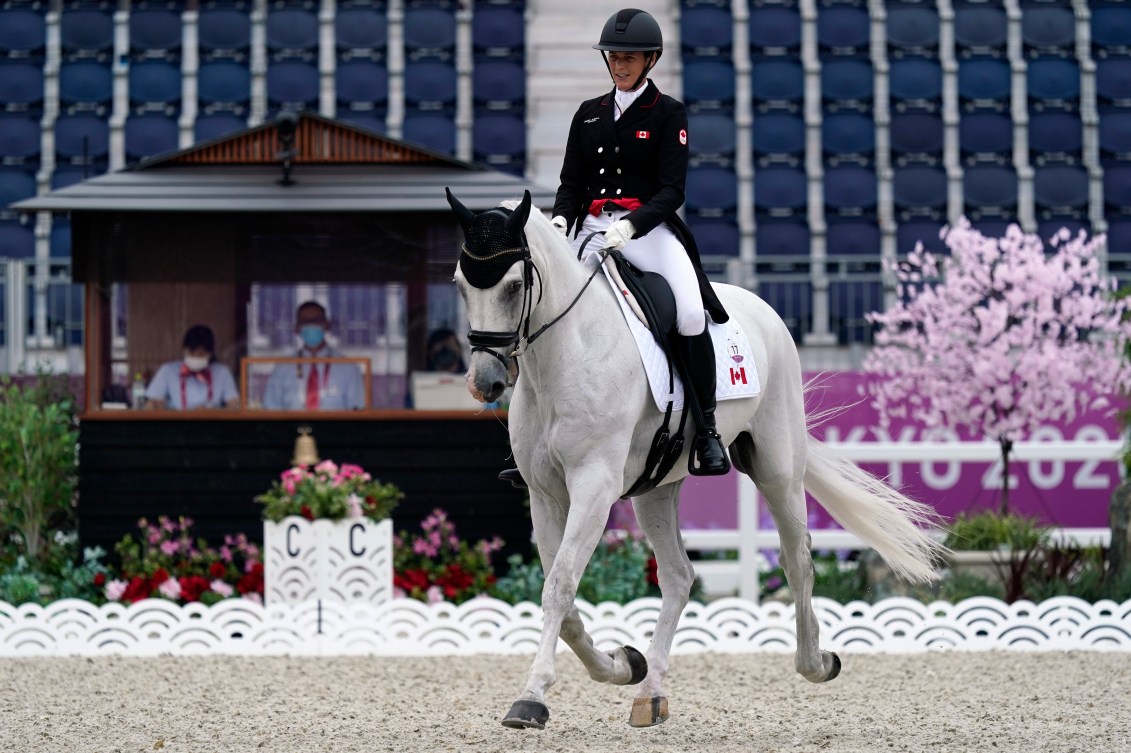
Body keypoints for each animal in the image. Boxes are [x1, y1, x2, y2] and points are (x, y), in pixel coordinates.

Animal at [445, 187, 940, 728]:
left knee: (798, 559)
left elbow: (559, 586)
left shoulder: (594, 487)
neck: (566, 353)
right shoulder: (545, 494)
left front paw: (531, 698)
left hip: (777, 469)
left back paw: (816, 662)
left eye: (514, 286)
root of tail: (762, 308)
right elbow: (565, 595)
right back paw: (650, 691)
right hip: (655, 489)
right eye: (459, 285)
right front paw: (622, 664)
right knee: (680, 576)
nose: (486, 382)